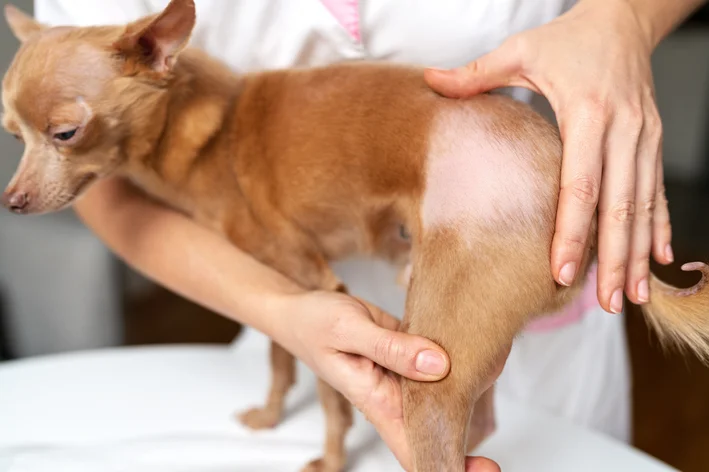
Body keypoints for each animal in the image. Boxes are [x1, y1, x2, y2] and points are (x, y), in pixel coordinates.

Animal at [4, 0, 708, 472]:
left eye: (65, 133)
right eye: (13, 135)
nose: (11, 201)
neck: (207, 134)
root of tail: (573, 178)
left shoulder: (312, 276)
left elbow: (328, 391)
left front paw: (331, 456)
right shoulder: (282, 289)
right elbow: (281, 358)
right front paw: (269, 416)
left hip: (436, 365)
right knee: (482, 422)